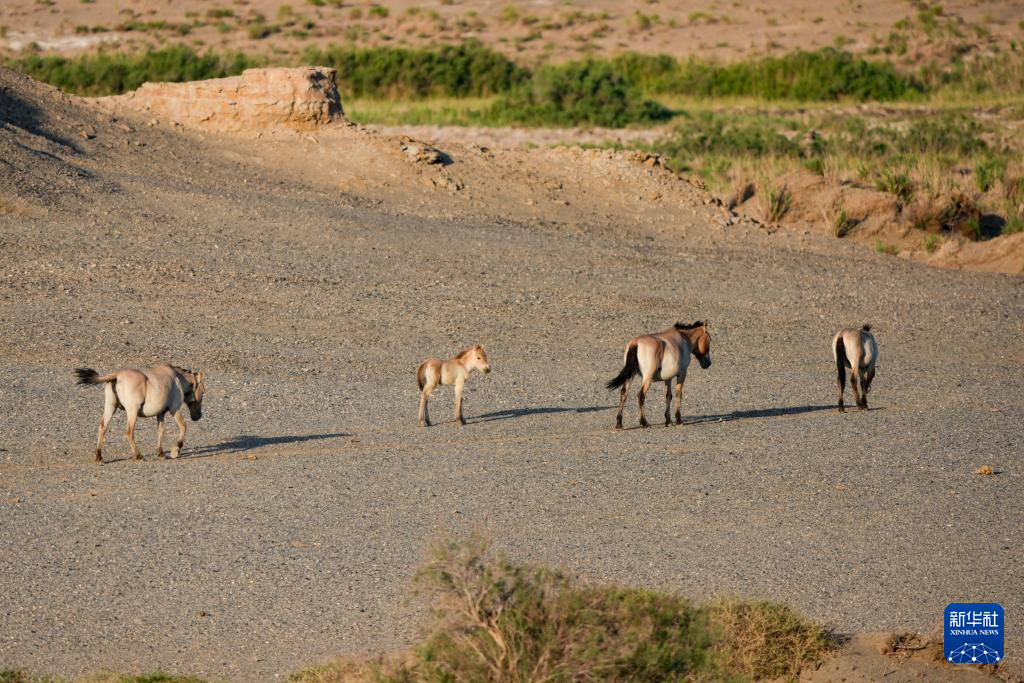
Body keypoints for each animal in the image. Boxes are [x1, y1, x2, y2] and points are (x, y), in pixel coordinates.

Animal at [75, 364, 205, 463]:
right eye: (203, 391)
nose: (198, 416)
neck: (177, 378)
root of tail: (118, 374)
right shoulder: (174, 409)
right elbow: (183, 427)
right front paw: (175, 451)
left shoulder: (161, 414)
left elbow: (161, 431)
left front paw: (160, 453)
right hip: (132, 411)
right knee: (129, 432)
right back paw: (138, 456)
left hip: (110, 407)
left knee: (103, 427)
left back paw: (99, 457)